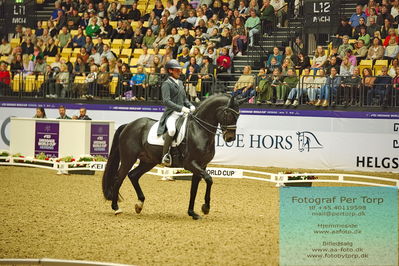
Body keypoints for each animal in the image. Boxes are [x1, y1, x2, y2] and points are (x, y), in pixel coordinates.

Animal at [101, 94, 242, 219]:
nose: (230, 138)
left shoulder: (202, 165)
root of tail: (129, 125)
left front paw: (192, 213)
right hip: (128, 158)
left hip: (148, 161)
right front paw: (205, 208)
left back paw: (139, 204)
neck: (199, 130)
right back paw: (116, 208)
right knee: (118, 179)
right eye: (228, 113)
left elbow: (194, 189)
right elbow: (209, 179)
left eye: (238, 115)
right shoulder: (190, 164)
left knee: (133, 175)